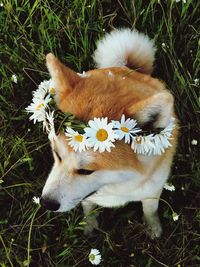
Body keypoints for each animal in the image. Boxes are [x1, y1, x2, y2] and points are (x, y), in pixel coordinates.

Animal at [39, 29, 178, 239]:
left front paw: (153, 227)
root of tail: (125, 69)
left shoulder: (152, 191)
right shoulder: (87, 198)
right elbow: (88, 208)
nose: (46, 203)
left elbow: (150, 210)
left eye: (86, 171)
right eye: (57, 154)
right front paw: (89, 227)